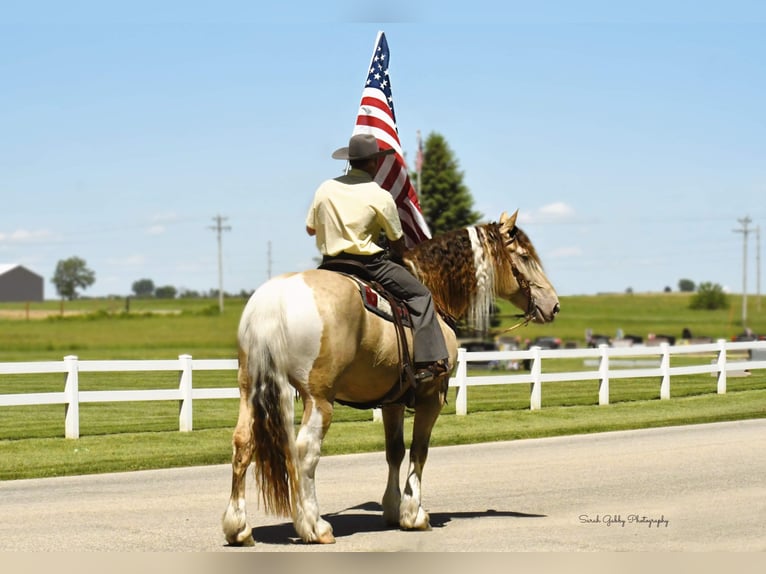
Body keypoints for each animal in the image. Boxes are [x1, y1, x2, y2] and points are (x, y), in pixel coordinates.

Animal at [220, 210, 560, 544]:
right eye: (525, 256)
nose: (554, 305)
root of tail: (272, 300)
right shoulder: (432, 397)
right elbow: (420, 450)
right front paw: (414, 514)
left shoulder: (392, 401)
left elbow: (394, 451)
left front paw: (394, 509)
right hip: (318, 399)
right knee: (305, 451)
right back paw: (314, 526)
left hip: (249, 390)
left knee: (243, 444)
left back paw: (239, 528)